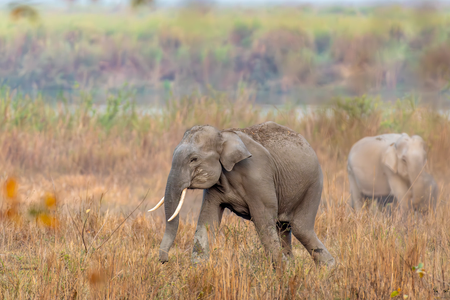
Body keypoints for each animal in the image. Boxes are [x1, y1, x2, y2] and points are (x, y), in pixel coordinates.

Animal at [149, 122, 336, 268]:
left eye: (193, 159)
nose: (164, 260)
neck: (223, 134)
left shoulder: (258, 177)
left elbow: (263, 222)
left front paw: (279, 274)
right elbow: (207, 220)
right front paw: (198, 271)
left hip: (313, 185)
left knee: (300, 228)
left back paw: (328, 269)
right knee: (283, 228)